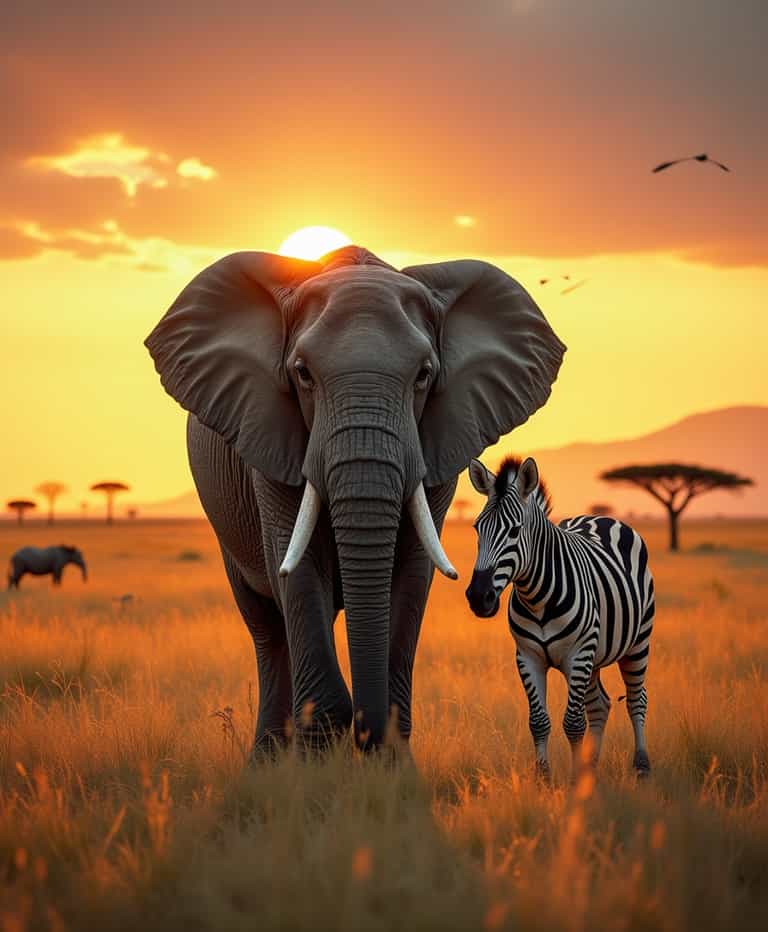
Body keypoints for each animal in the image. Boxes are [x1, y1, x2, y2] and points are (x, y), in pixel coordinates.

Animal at [145, 245, 565, 754]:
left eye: (424, 375)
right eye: (302, 374)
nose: (367, 734)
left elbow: (413, 569)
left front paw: (391, 764)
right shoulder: (271, 441)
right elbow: (297, 566)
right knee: (267, 629)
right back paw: (266, 760)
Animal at [465, 455, 655, 779]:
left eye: (515, 531)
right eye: (478, 528)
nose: (479, 597)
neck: (537, 597)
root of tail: (601, 517)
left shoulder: (578, 654)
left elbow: (574, 723)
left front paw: (575, 781)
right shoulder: (528, 657)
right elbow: (539, 721)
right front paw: (544, 778)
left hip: (637, 642)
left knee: (635, 700)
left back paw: (641, 766)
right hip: (595, 655)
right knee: (600, 705)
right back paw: (592, 765)